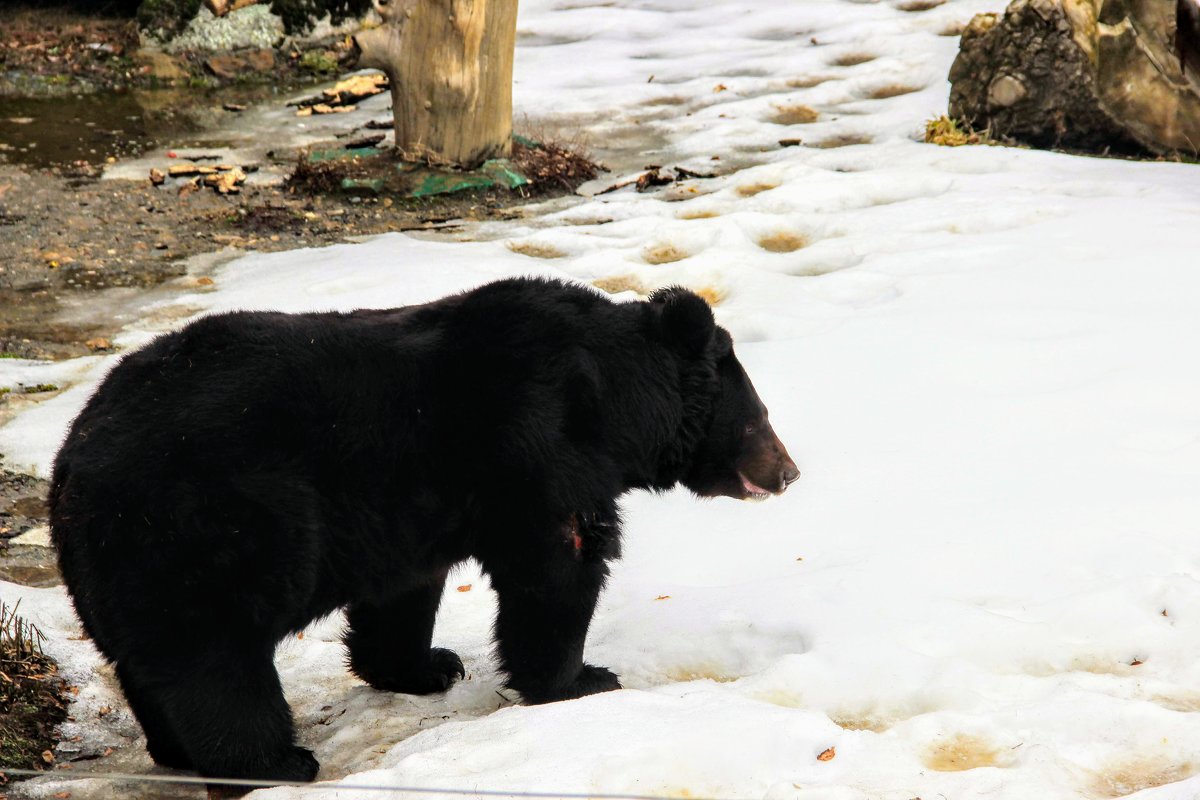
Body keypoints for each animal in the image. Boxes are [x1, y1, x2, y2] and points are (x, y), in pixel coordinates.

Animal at [49, 277, 796, 786]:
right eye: (758, 418)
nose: (790, 473)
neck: (612, 401)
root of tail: (71, 469)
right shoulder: (536, 448)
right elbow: (556, 566)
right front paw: (582, 678)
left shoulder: (404, 506)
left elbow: (402, 592)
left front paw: (429, 665)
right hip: (210, 527)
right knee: (216, 661)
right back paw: (275, 761)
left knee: (151, 663)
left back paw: (176, 748)